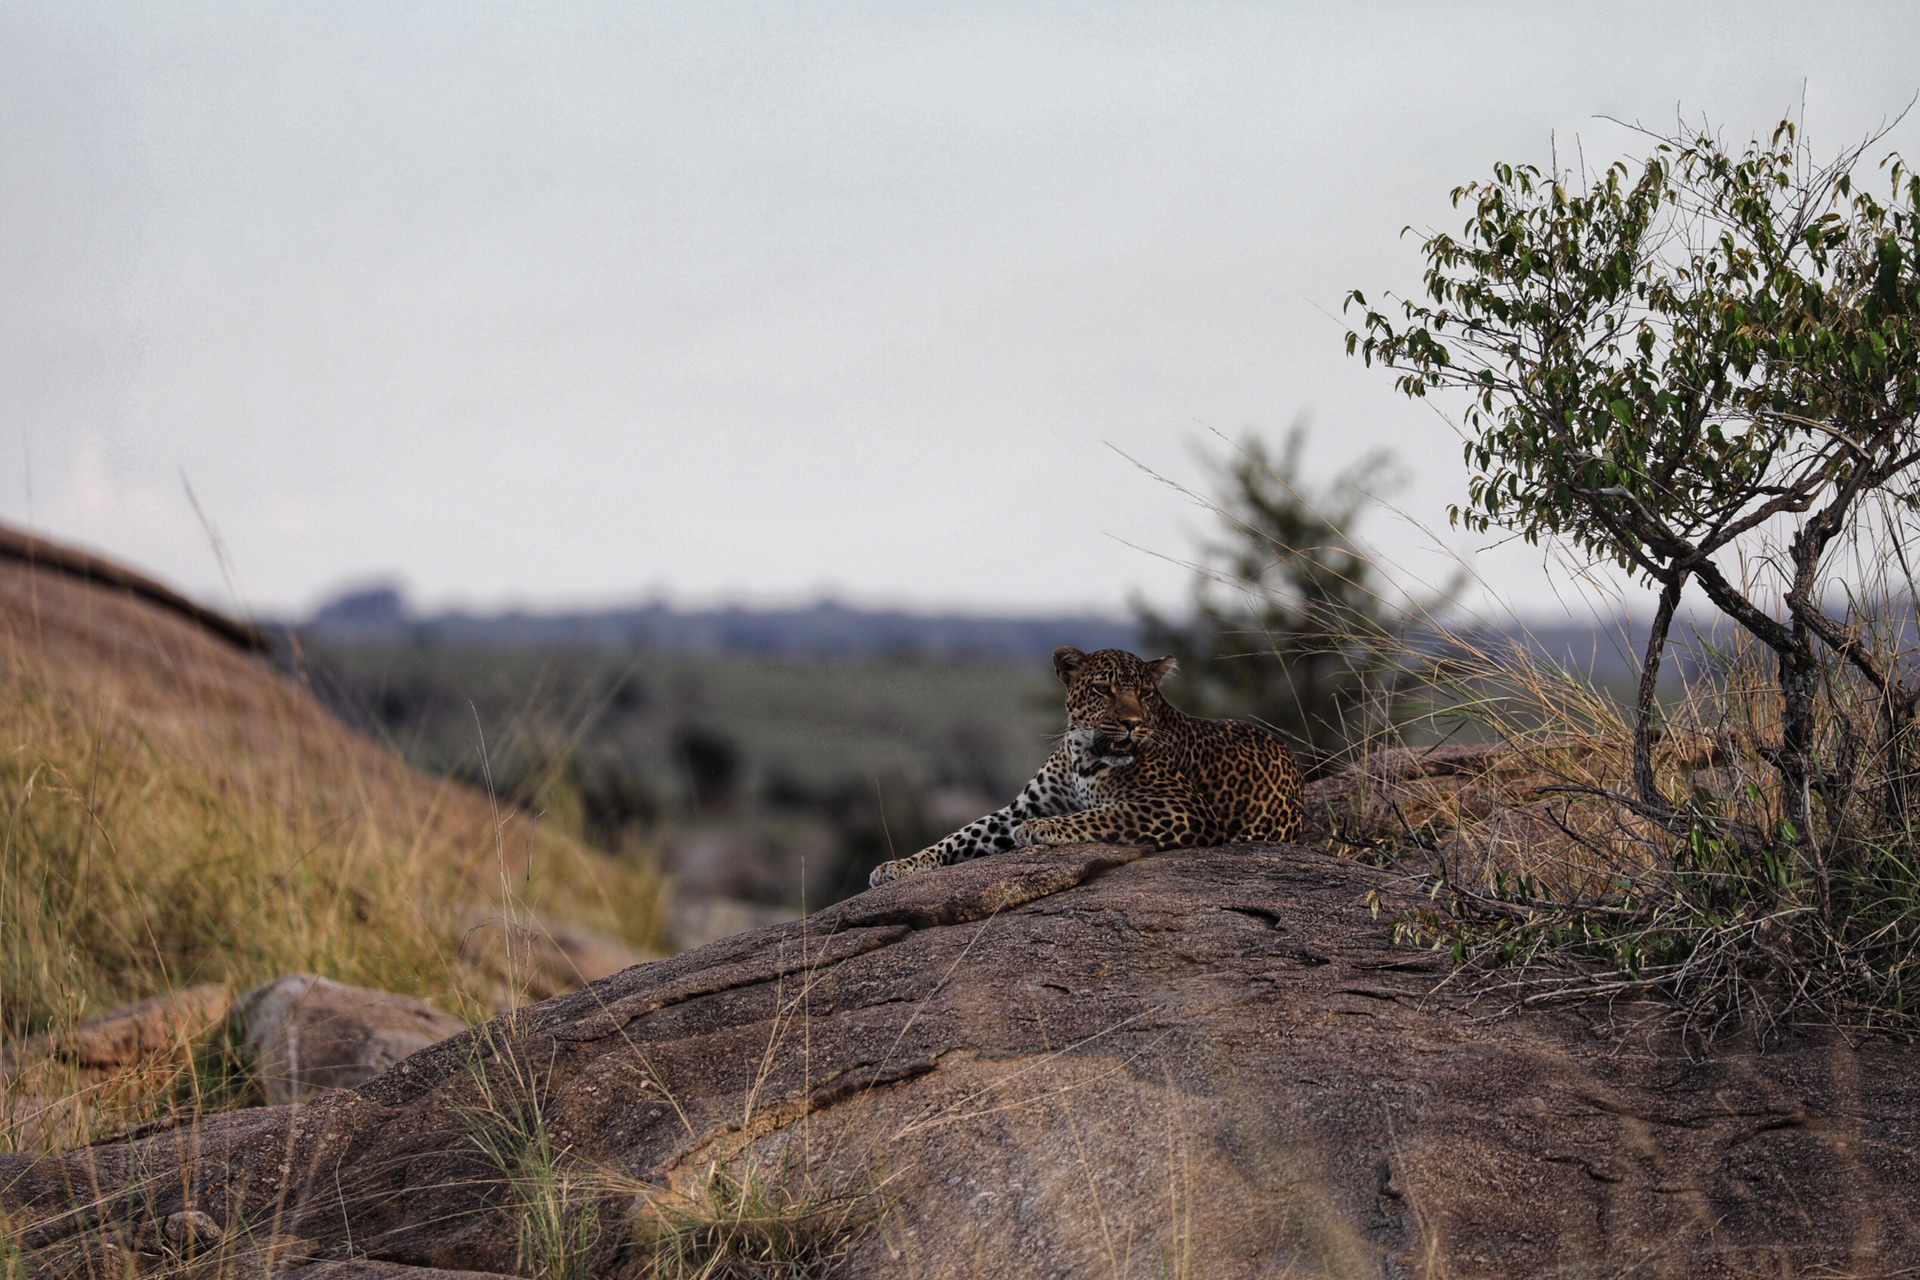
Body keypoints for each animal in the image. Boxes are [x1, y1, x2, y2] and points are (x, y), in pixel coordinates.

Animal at [867, 644, 1305, 886]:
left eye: (1145, 693)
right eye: (1102, 689)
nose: (1132, 723)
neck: (1083, 754)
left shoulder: (1183, 808)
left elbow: (1104, 814)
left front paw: (1041, 829)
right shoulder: (1021, 806)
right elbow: (961, 835)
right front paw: (899, 866)